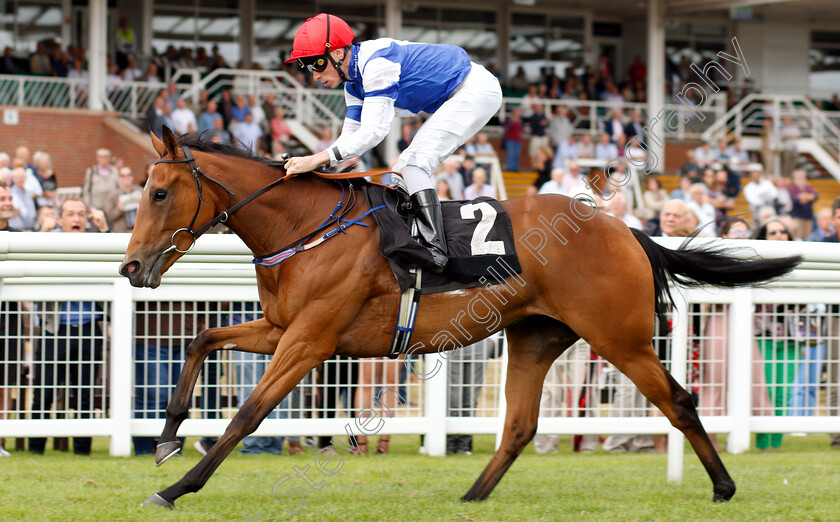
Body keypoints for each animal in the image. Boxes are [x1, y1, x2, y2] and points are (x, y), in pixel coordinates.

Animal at [123, 127, 800, 508]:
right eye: (141, 191)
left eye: (160, 192)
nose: (131, 267)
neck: (306, 227)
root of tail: (627, 228)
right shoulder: (281, 329)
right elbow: (202, 338)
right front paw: (165, 438)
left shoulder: (311, 340)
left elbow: (247, 415)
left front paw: (176, 488)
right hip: (536, 336)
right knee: (520, 426)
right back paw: (472, 495)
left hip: (620, 336)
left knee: (680, 402)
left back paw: (723, 487)